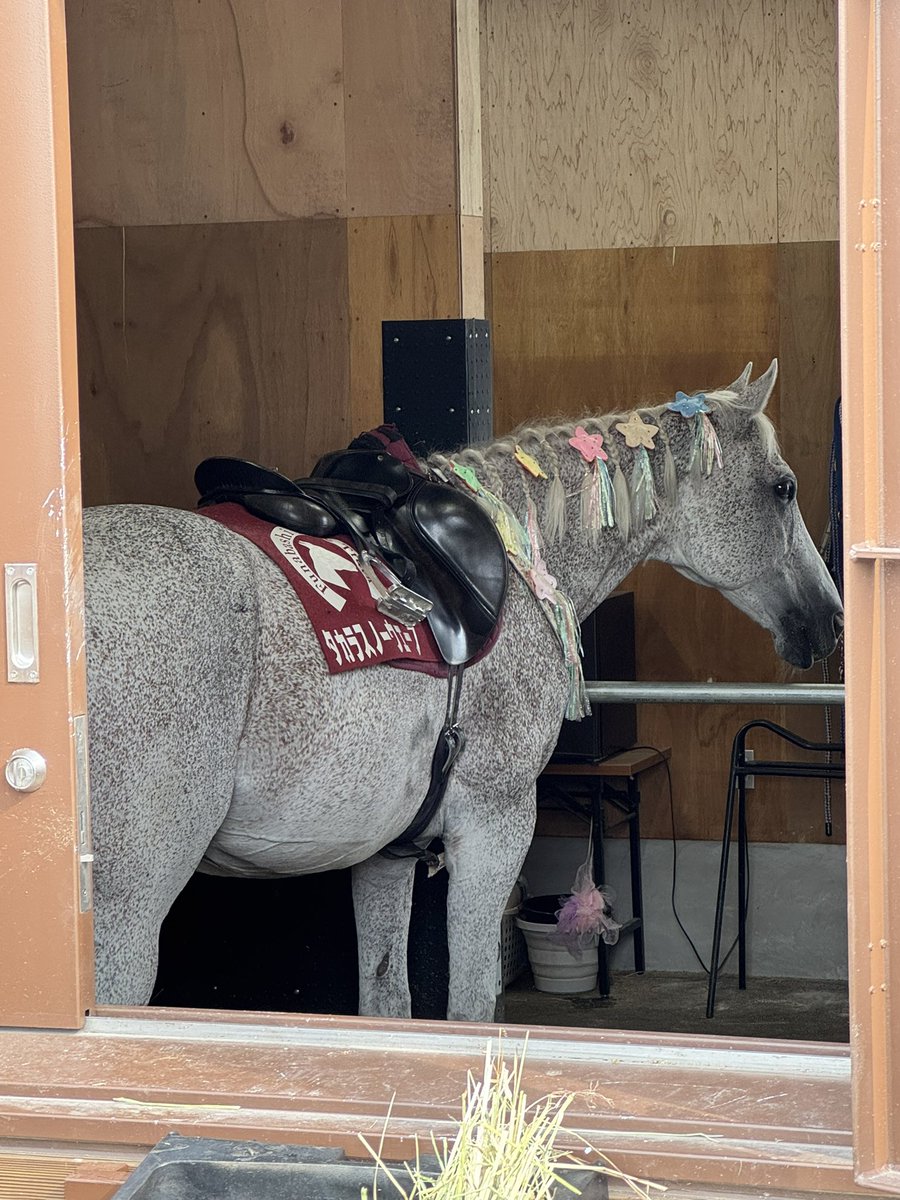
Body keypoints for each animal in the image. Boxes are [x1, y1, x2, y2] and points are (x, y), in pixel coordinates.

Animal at [82, 359, 842, 1021]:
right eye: (783, 488)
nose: (831, 620)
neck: (514, 560)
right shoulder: (494, 824)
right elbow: (471, 1008)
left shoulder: (384, 855)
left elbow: (389, 1005)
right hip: (125, 918)